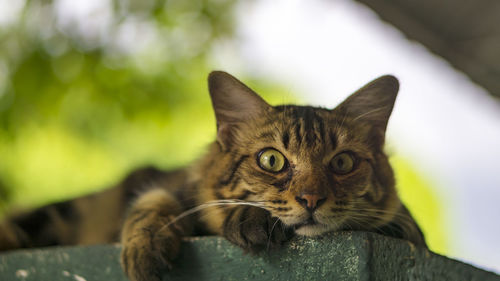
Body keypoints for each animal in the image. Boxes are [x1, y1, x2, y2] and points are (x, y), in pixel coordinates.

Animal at [0, 71, 426, 280]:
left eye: (342, 163)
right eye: (272, 160)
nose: (311, 199)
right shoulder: (173, 187)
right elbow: (153, 203)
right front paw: (144, 248)